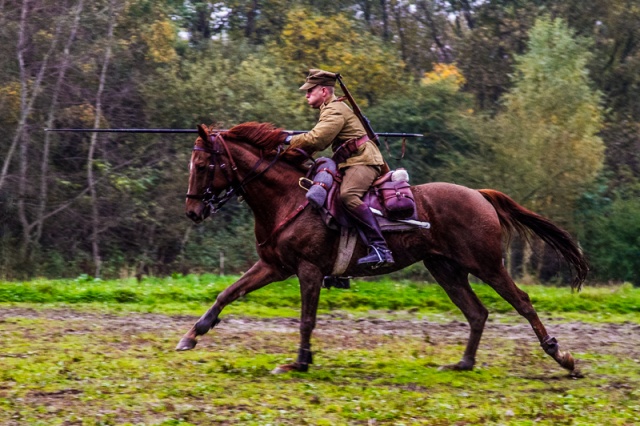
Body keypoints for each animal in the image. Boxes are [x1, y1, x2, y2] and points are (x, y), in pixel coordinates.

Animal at [178, 121, 588, 374]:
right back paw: (463, 364)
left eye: (204, 163)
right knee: (477, 313)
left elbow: (307, 319)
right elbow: (227, 293)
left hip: (487, 265)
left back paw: (561, 356)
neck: (287, 197)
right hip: (445, 269)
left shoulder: (308, 270)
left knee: (522, 302)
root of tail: (479, 195)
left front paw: (299, 362)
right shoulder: (273, 267)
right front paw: (193, 334)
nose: (193, 211)